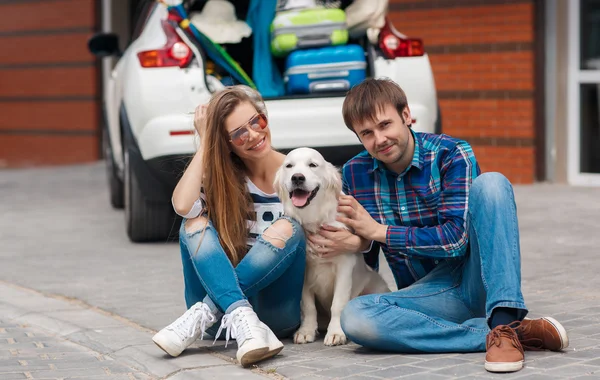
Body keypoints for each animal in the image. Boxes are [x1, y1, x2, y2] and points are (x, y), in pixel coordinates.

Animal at [274, 147, 392, 346]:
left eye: (313, 165)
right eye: (289, 166)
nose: (297, 178)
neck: (314, 218)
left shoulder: (344, 266)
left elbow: (338, 303)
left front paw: (336, 332)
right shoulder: (304, 270)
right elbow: (307, 305)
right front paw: (306, 331)